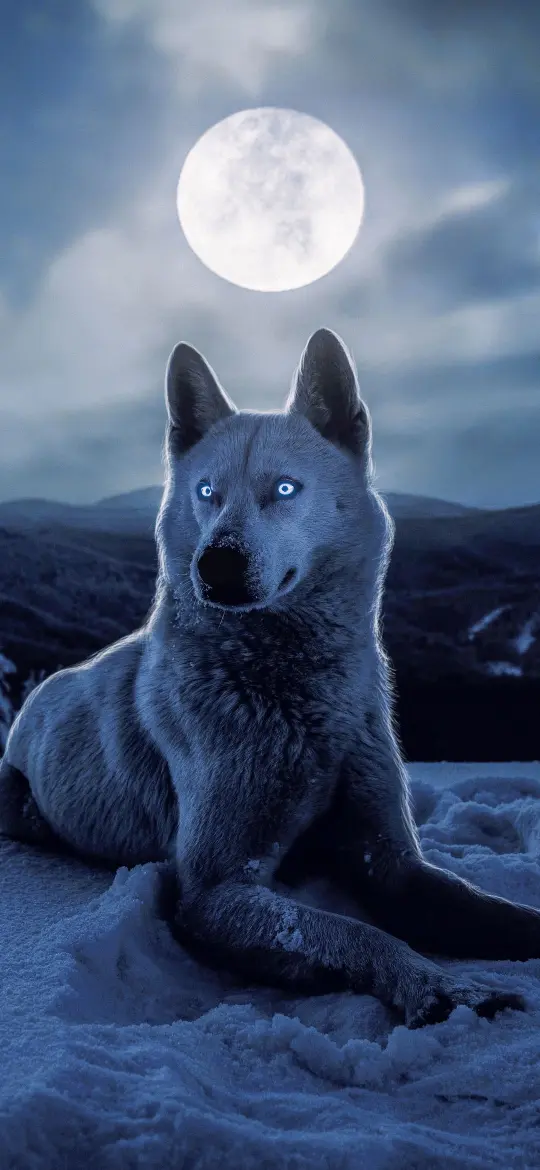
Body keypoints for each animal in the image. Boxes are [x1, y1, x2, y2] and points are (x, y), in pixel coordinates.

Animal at [2, 328, 540, 1028]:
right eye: (207, 492)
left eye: (284, 490)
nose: (216, 566)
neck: (298, 698)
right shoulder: (215, 890)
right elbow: (356, 932)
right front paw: (443, 988)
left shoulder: (391, 861)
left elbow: (494, 912)